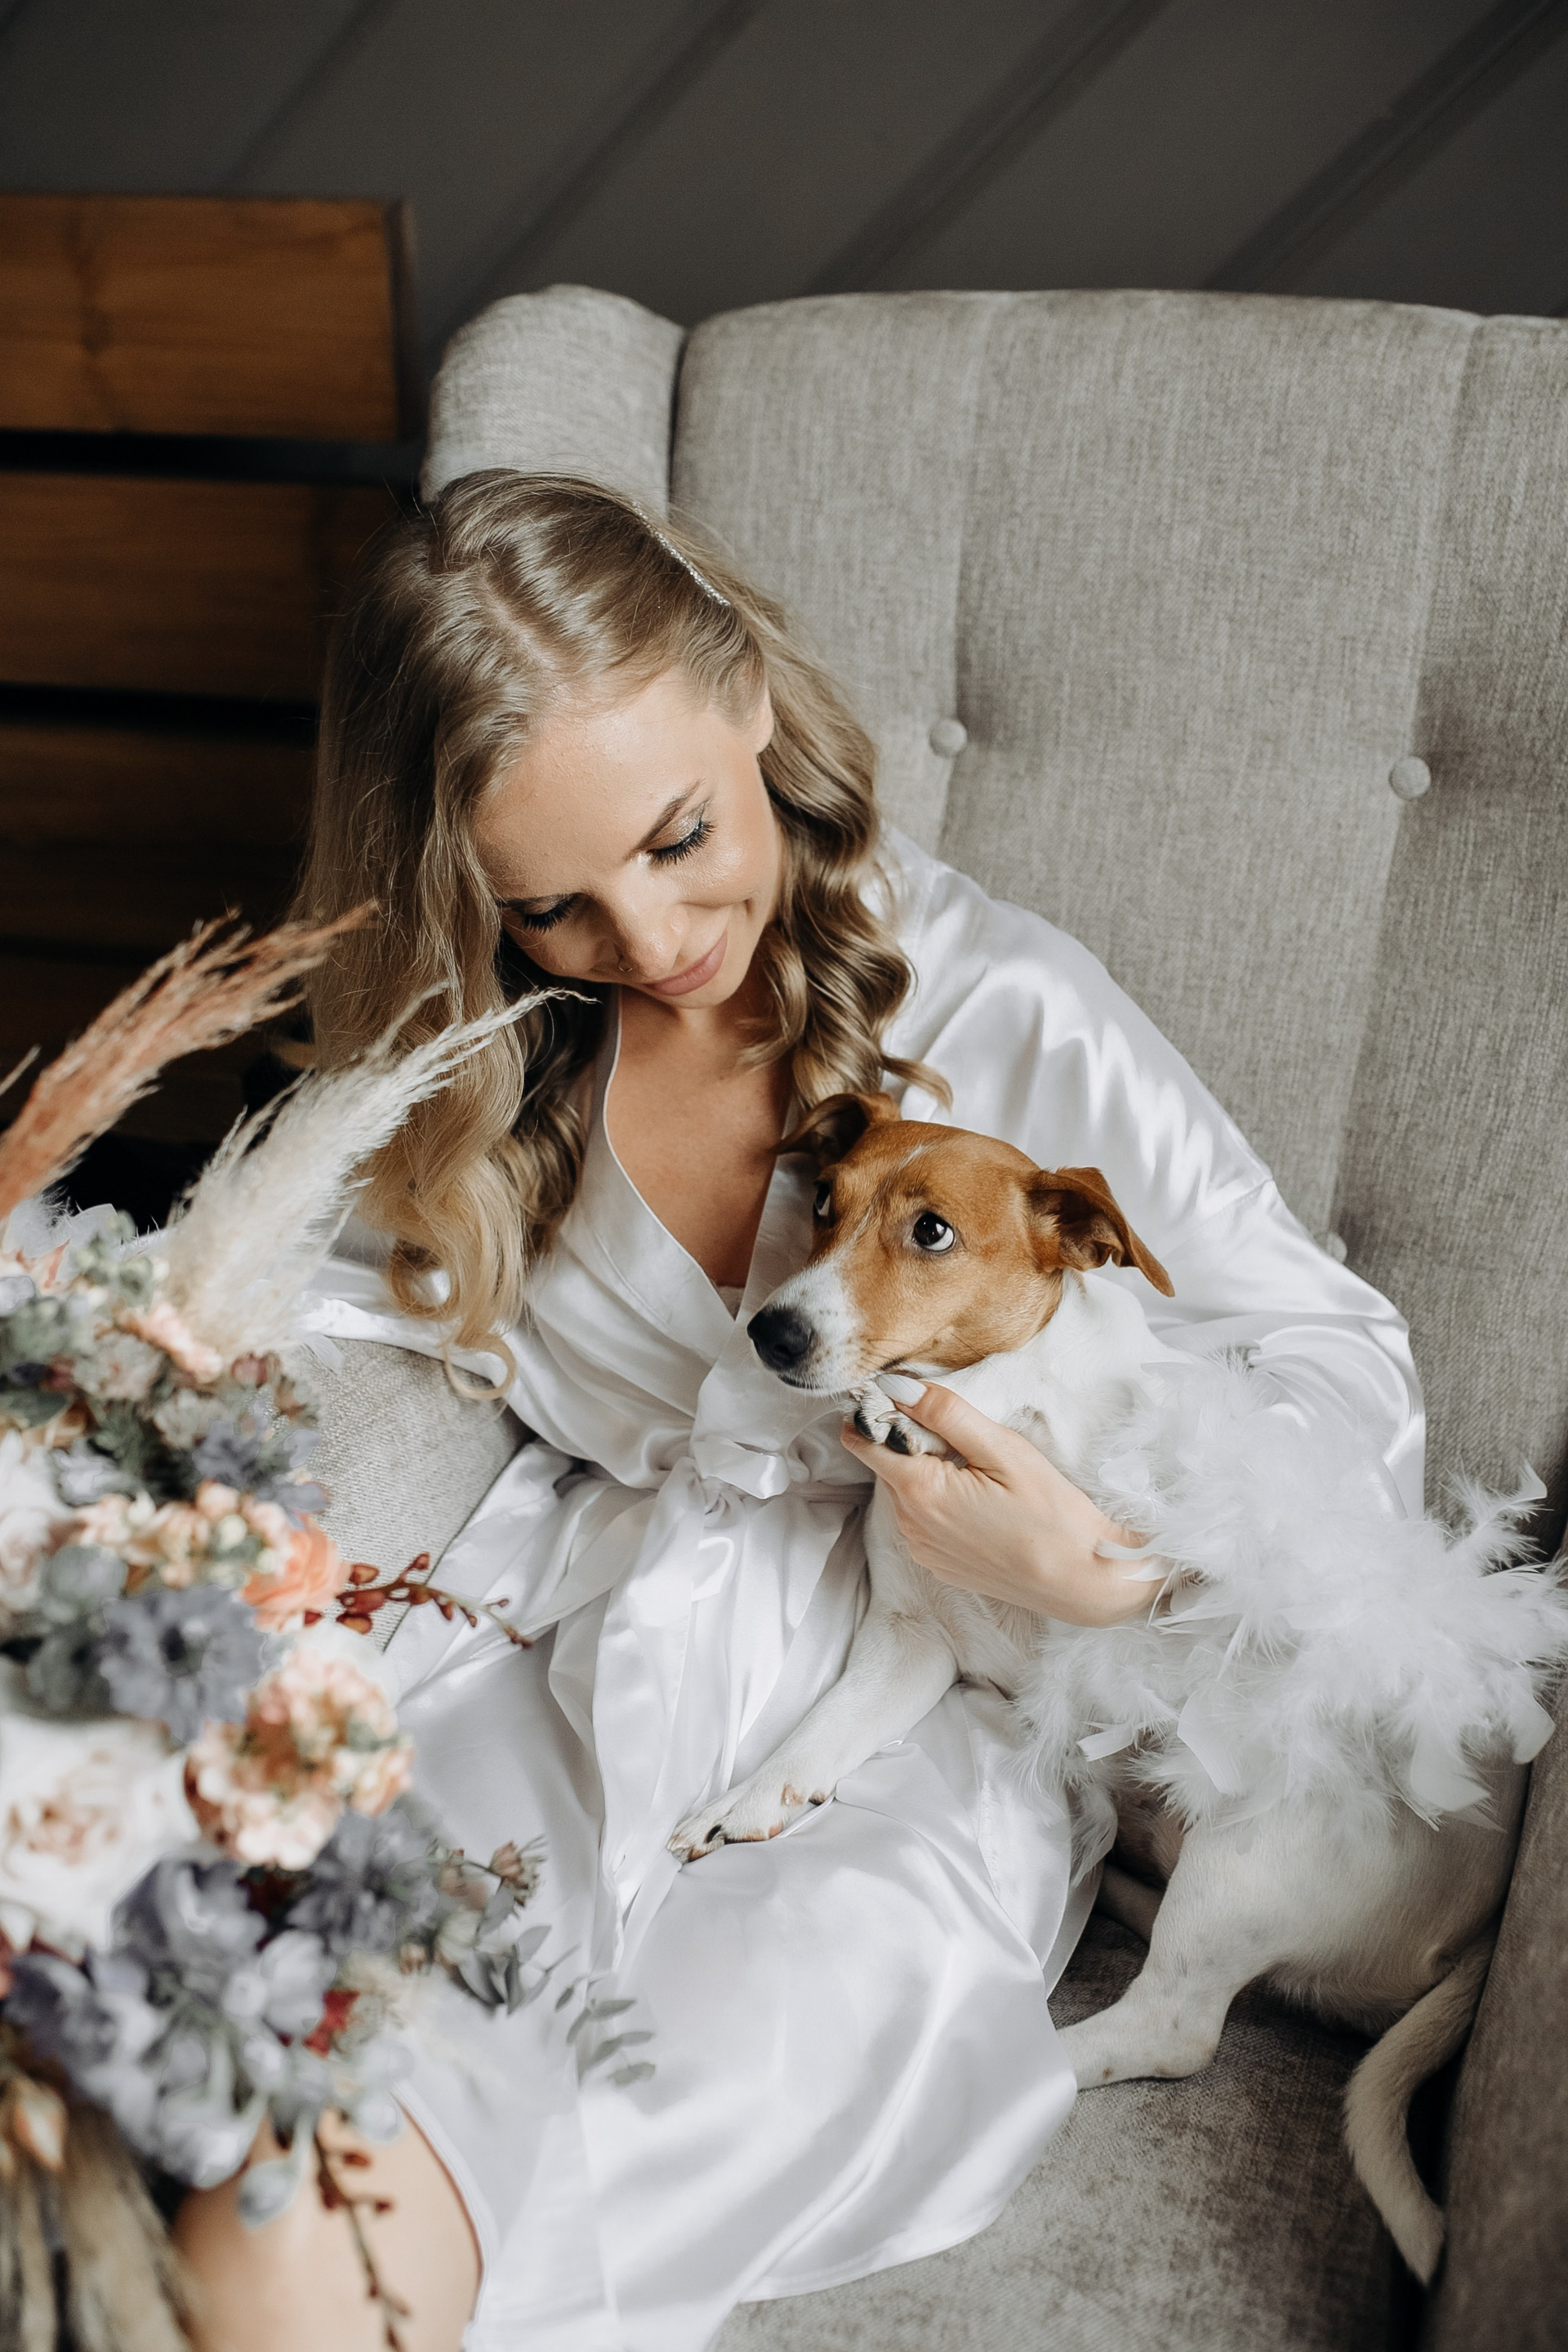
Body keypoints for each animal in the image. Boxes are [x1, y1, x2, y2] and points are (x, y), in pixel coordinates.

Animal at [669, 1092, 1568, 2279]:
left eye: (931, 1232)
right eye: (823, 1200)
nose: (771, 1331)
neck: (980, 1416)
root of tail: (1482, 1916)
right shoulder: (911, 1643)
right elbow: (817, 1736)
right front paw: (749, 1796)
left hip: (1250, 1852)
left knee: (1174, 2028)